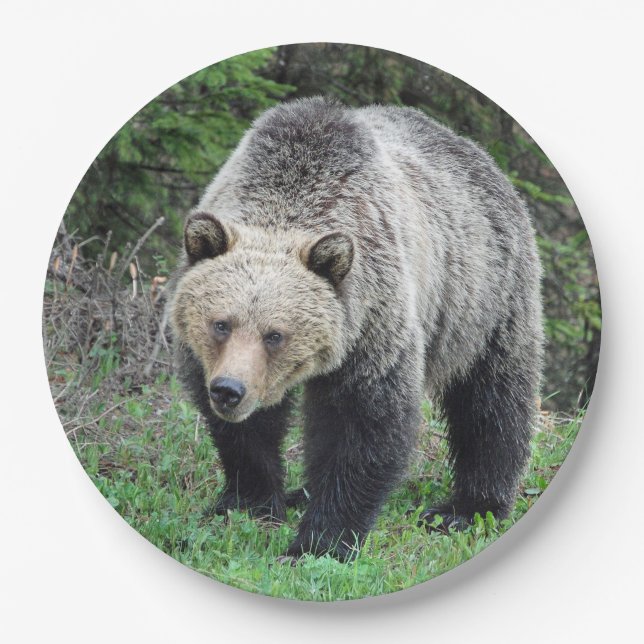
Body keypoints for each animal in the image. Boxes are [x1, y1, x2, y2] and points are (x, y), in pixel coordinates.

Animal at [168, 97, 543, 561]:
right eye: (220, 324)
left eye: (275, 334)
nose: (229, 391)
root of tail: (479, 154)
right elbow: (247, 434)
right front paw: (247, 501)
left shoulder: (372, 323)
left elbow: (362, 426)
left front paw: (318, 542)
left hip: (484, 298)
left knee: (492, 401)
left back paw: (467, 508)